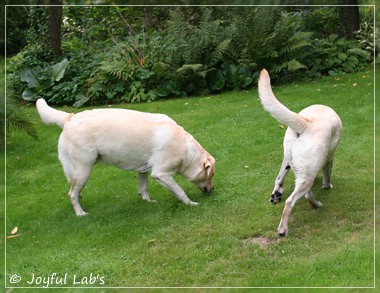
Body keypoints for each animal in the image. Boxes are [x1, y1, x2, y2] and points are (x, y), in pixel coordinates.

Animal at [36, 99, 215, 216]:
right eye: (210, 175)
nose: (213, 190)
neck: (185, 149)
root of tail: (70, 117)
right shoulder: (161, 173)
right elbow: (180, 191)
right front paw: (191, 204)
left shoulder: (143, 169)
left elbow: (143, 187)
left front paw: (147, 201)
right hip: (84, 169)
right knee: (71, 194)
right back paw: (80, 213)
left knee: (73, 189)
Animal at [258, 68, 342, 235]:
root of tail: (305, 123)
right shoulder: (329, 159)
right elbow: (327, 174)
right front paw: (327, 185)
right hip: (307, 176)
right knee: (292, 201)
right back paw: (283, 229)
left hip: (291, 163)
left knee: (282, 181)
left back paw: (280, 196)